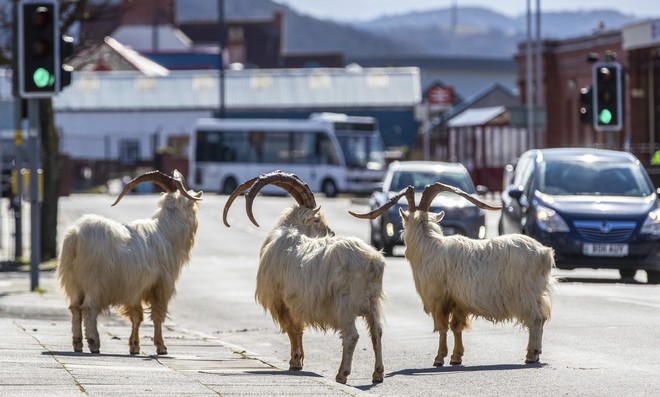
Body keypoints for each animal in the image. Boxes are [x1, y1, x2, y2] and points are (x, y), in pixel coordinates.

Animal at [58, 169, 202, 354]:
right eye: (193, 206)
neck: (165, 232)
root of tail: (76, 235)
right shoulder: (161, 285)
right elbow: (157, 315)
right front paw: (161, 347)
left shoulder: (135, 288)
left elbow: (136, 316)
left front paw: (134, 346)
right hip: (94, 281)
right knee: (89, 308)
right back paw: (94, 342)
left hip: (73, 281)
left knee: (75, 307)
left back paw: (77, 344)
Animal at [223, 171, 386, 384]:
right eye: (317, 220)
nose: (331, 232)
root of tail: (372, 261)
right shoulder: (296, 303)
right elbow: (298, 329)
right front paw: (299, 361)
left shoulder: (282, 302)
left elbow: (292, 329)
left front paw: (295, 362)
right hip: (372, 302)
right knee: (377, 332)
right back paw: (378, 373)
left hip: (345, 304)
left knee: (351, 336)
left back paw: (342, 374)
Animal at [354, 184, 556, 366]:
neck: (429, 246)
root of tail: (544, 253)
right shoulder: (458, 301)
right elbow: (456, 327)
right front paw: (456, 357)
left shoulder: (439, 299)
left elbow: (443, 327)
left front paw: (439, 358)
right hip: (537, 294)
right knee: (542, 318)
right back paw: (536, 354)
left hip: (525, 294)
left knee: (536, 319)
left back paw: (531, 354)